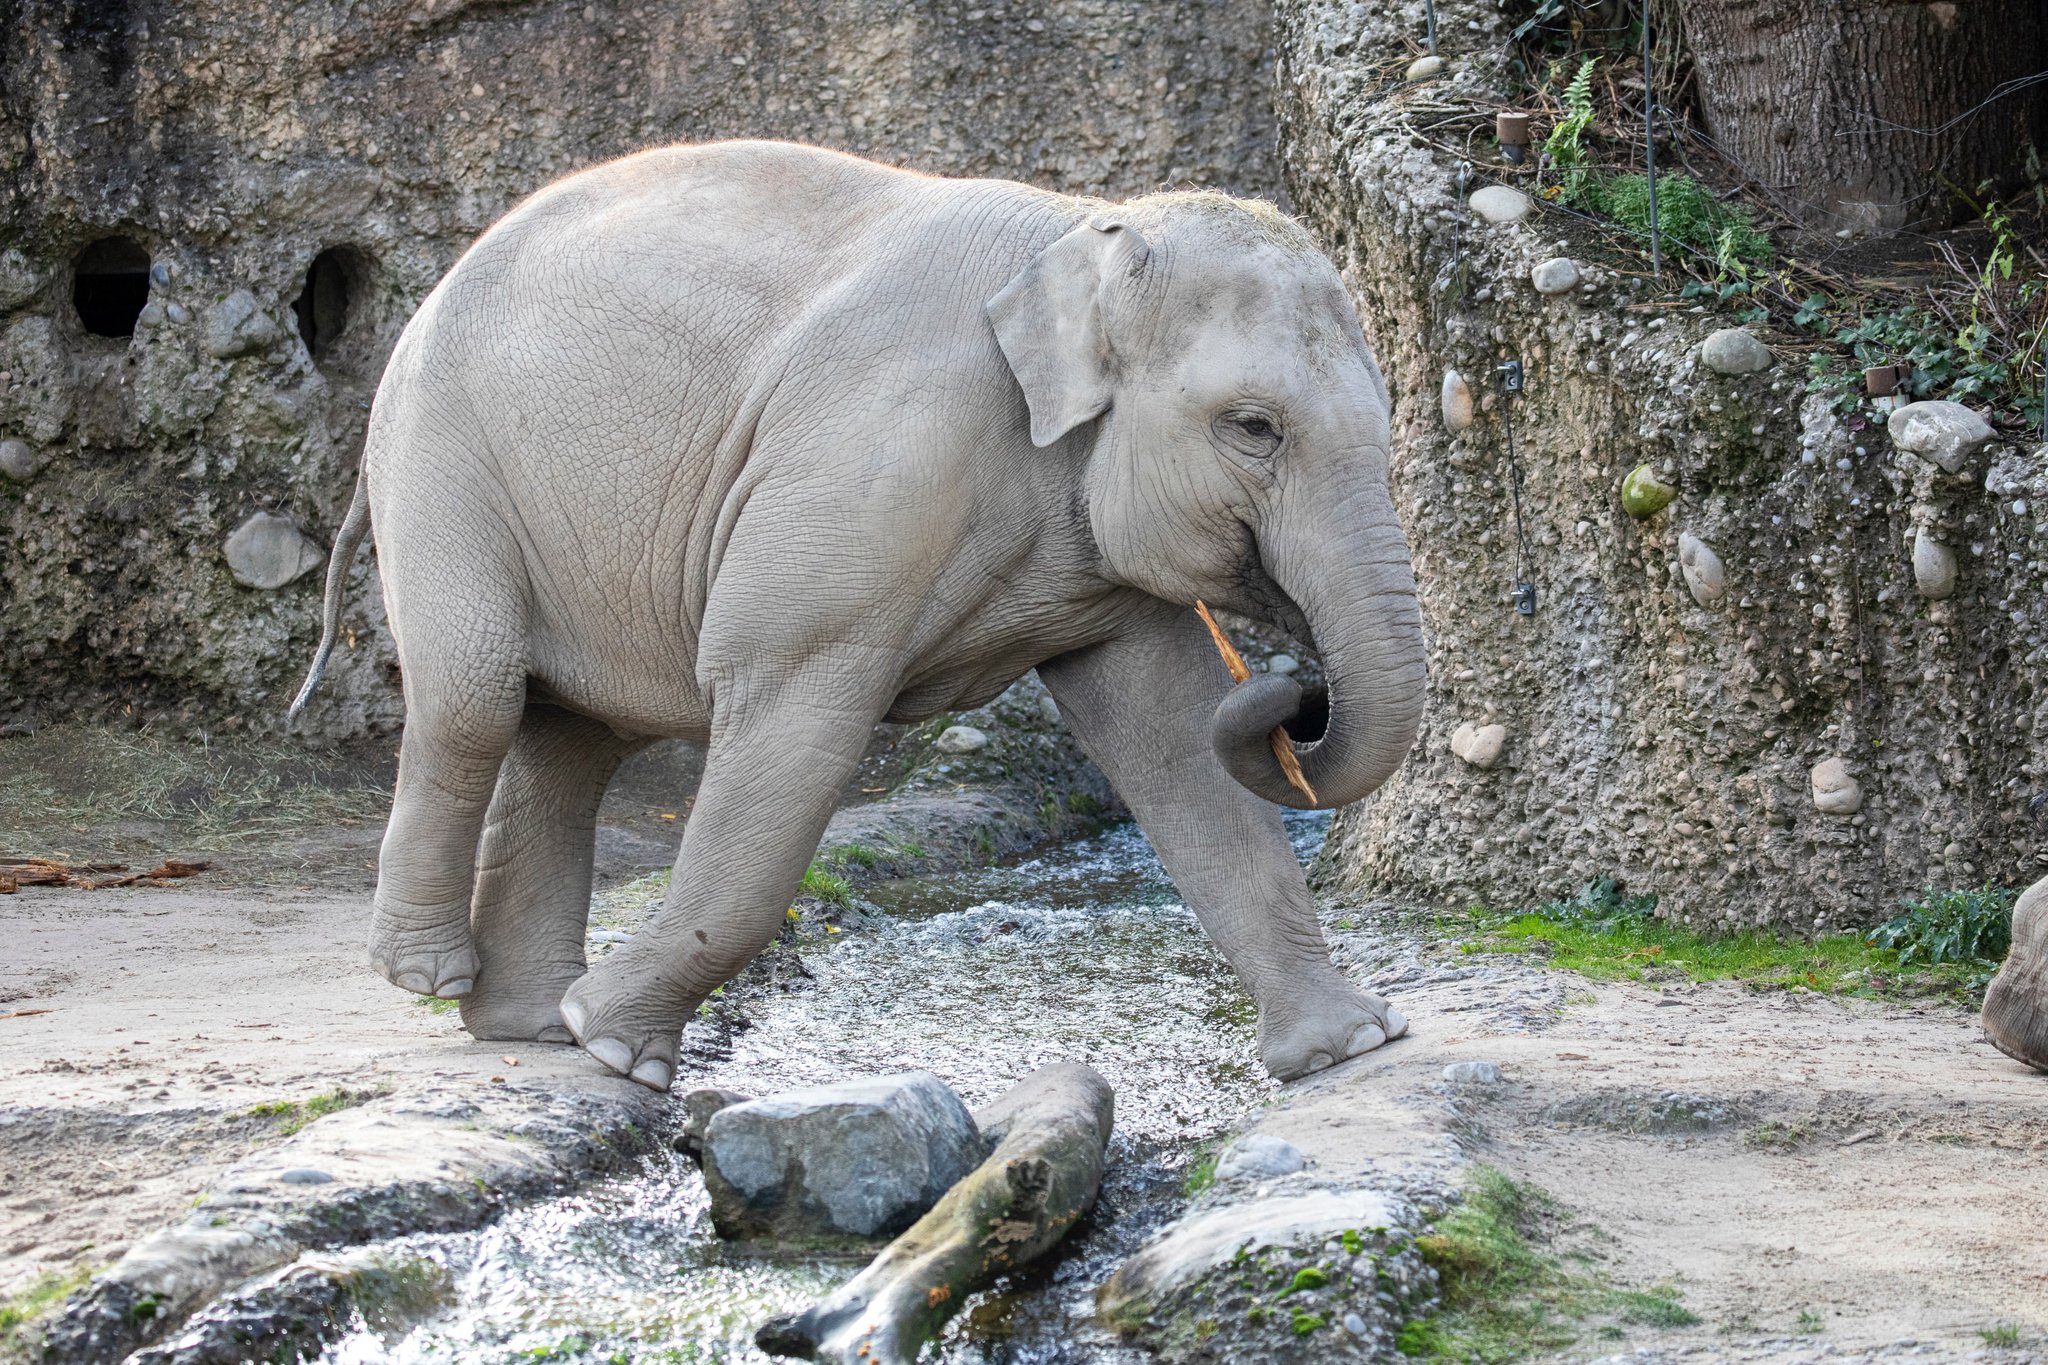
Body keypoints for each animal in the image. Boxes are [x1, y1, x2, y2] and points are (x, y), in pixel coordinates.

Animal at [292, 139, 1427, 1092]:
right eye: (1253, 427)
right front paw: (615, 1046)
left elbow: (1173, 734)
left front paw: (1345, 1049)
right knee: (477, 698)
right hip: (440, 463)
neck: (1081, 231)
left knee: (569, 741)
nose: (1291, 694)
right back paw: (438, 981)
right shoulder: (870, 471)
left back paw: (525, 1029)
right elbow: (787, 717)